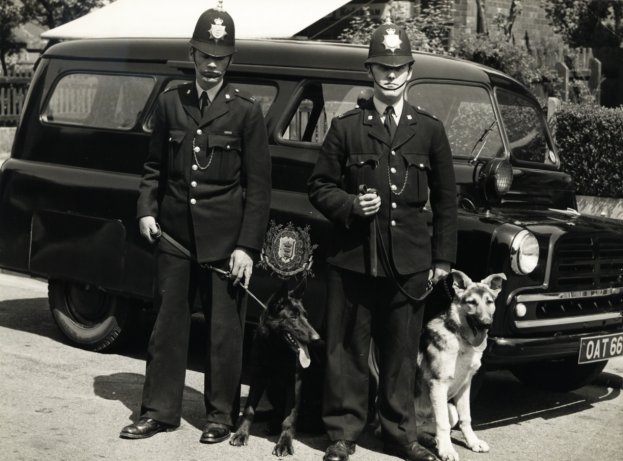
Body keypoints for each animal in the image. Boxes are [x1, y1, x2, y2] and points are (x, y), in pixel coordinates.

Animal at [229, 278, 322, 454]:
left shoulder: (295, 383)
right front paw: (242, 433)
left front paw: (284, 442)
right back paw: (270, 422)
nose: (317, 338)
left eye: (306, 316)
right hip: (271, 389)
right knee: (277, 411)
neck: (276, 348)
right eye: (293, 317)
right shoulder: (258, 377)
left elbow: (289, 418)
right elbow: (249, 409)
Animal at [414, 270, 508, 460]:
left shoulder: (465, 385)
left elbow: (466, 418)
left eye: (489, 302)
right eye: (471, 302)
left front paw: (473, 442)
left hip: (451, 410)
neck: (461, 340)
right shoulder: (438, 384)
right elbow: (442, 424)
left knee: (424, 428)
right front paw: (447, 450)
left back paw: (429, 439)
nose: (486, 324)